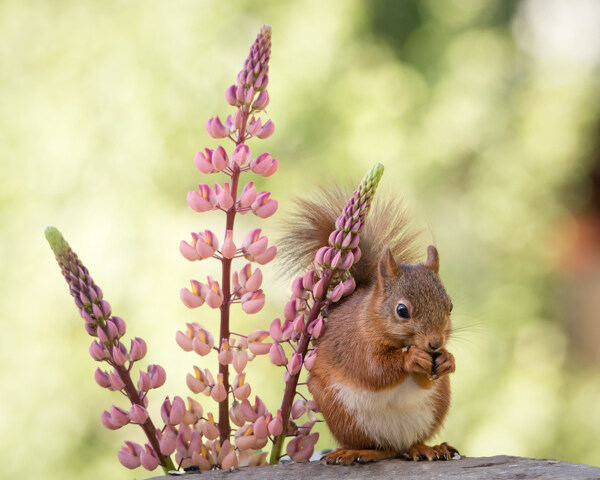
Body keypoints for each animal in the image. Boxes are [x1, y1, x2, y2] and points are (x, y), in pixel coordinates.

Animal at [278, 188, 458, 464]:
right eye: (402, 310)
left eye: (450, 306)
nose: (435, 343)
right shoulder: (356, 344)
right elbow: (374, 370)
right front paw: (412, 358)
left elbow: (426, 380)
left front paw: (448, 359)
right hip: (344, 416)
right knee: (382, 449)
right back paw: (357, 451)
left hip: (435, 406)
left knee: (407, 445)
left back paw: (428, 448)